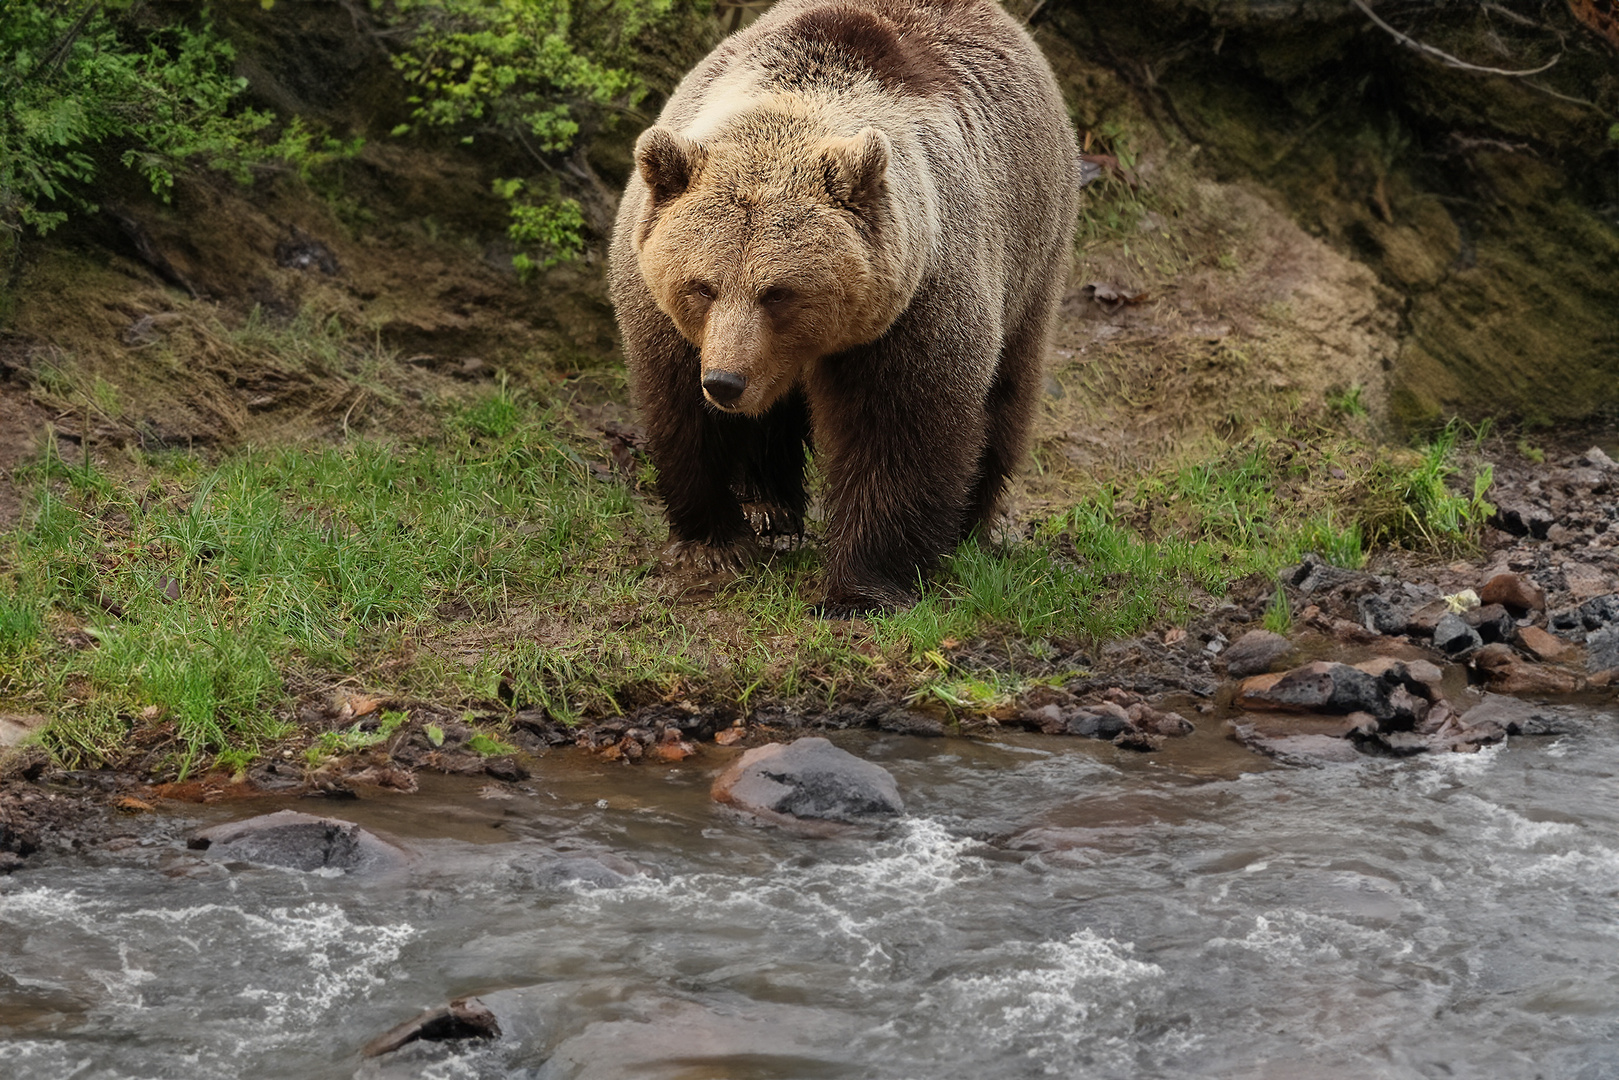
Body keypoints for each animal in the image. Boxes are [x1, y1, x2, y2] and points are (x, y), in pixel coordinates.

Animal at [611, 0, 1081, 612]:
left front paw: (861, 587)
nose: (726, 382)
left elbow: (898, 429)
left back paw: (972, 521)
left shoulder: (915, 300)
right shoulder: (664, 309)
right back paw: (768, 507)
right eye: (702, 286)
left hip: (1034, 248)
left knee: (1008, 388)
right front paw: (714, 541)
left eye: (779, 292)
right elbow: (679, 408)